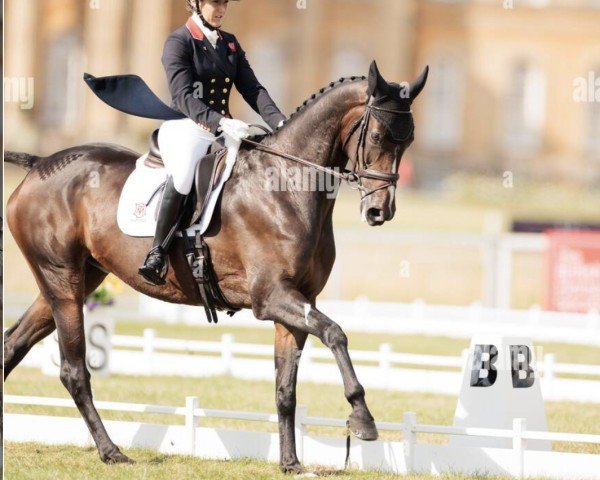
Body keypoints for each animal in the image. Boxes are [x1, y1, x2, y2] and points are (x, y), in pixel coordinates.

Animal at [3, 60, 426, 472]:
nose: (379, 211)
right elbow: (336, 333)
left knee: (13, 344)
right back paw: (112, 452)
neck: (286, 187)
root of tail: (41, 164)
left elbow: (286, 388)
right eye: (378, 137)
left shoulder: (298, 301)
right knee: (73, 370)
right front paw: (362, 417)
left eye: (408, 141)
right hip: (62, 279)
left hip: (79, 278)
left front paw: (290, 462)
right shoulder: (270, 297)